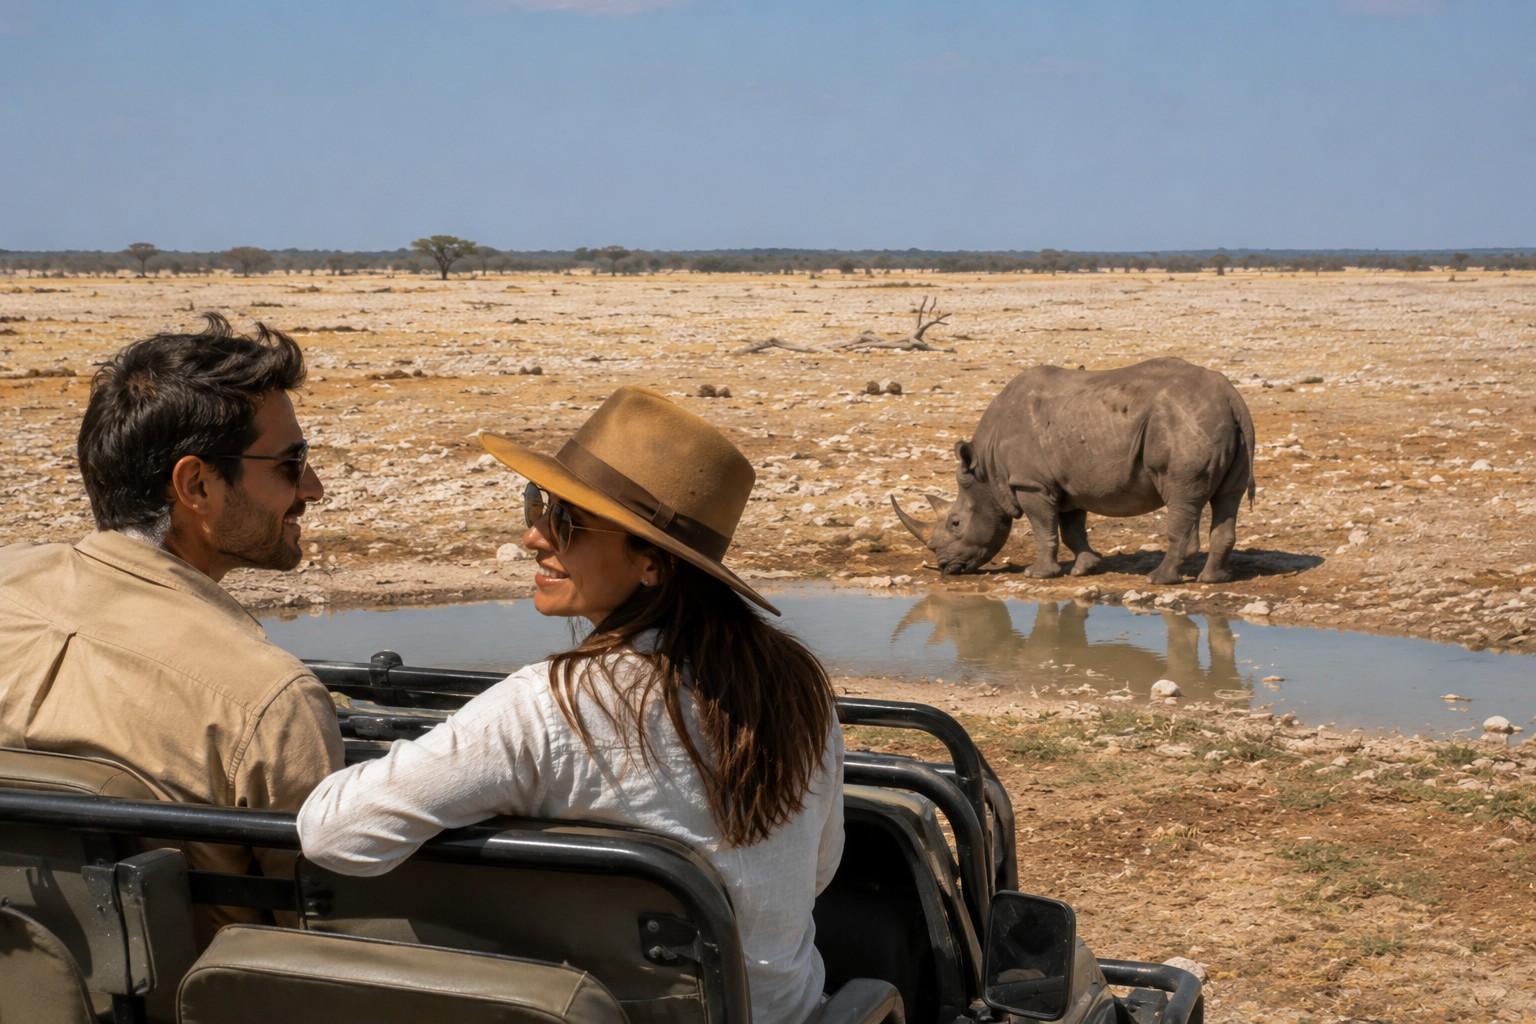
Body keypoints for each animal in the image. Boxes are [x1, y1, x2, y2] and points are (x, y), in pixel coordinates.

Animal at [892, 356, 1255, 584]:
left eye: (956, 523)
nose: (944, 567)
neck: (986, 469)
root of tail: (1232, 398)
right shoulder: (1069, 483)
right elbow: (1071, 529)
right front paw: (1085, 569)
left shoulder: (1030, 484)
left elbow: (1043, 529)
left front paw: (1038, 574)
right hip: (1213, 421)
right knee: (1228, 498)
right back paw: (1214, 579)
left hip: (1183, 425)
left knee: (1180, 495)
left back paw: (1159, 580)